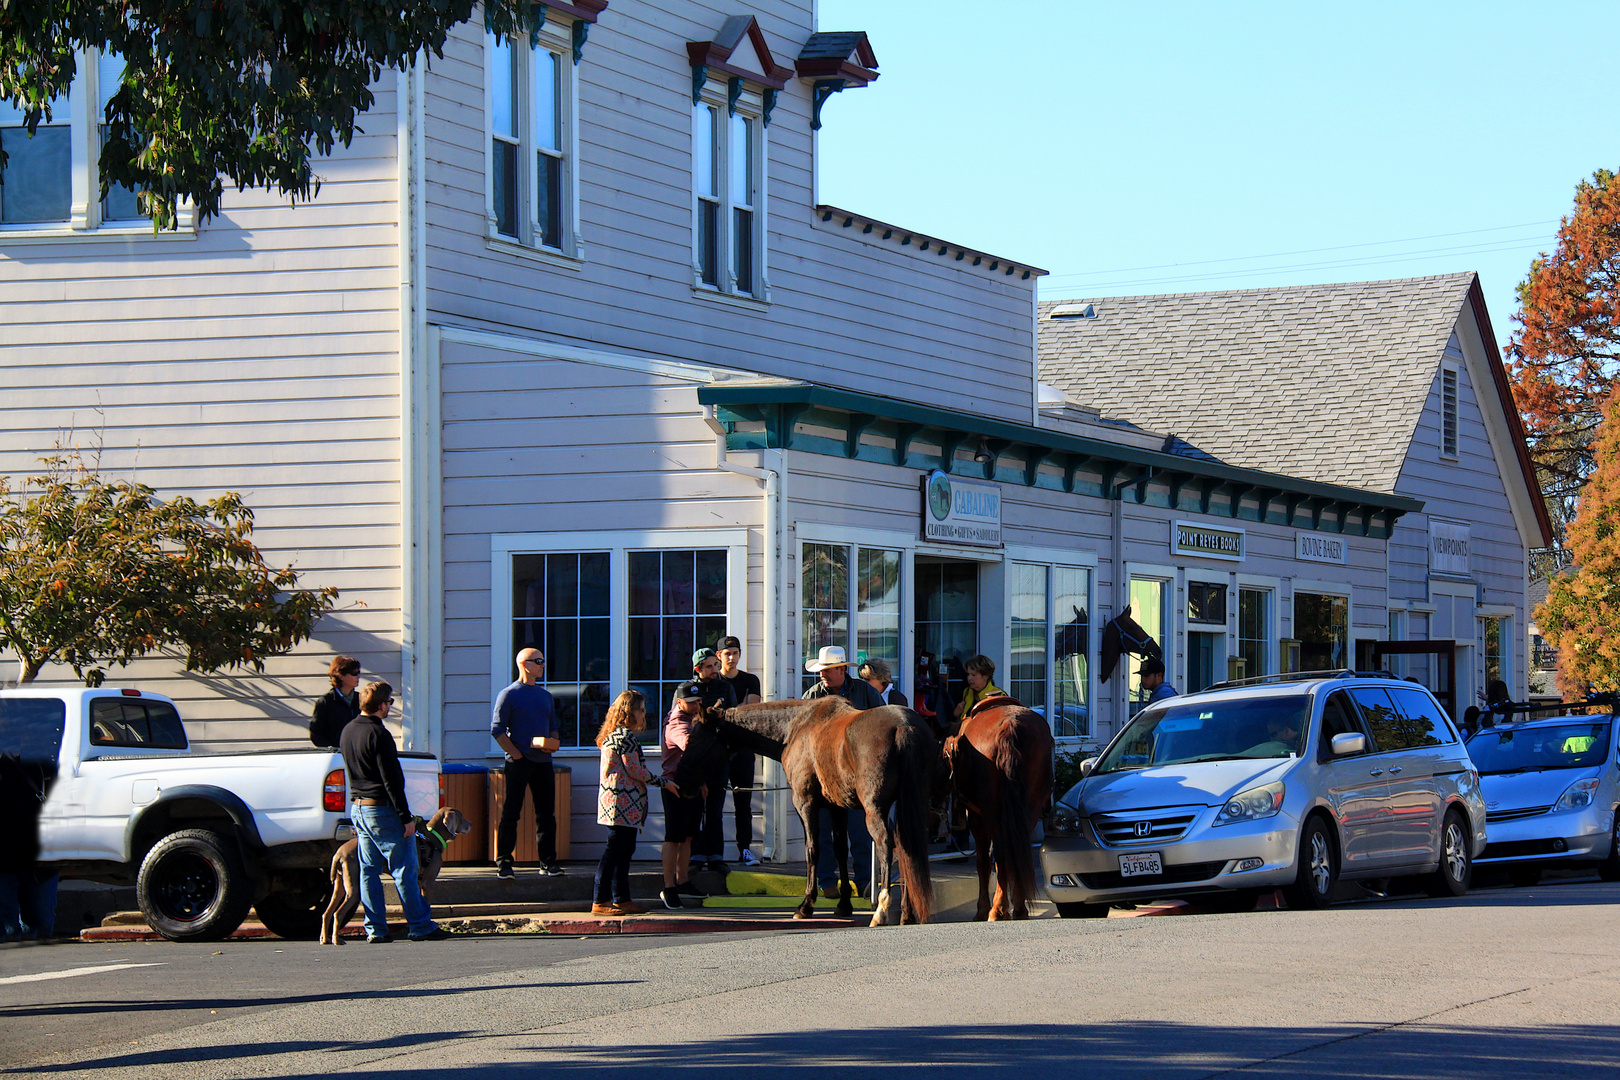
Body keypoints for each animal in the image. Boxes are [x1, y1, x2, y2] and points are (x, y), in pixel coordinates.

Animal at [315, 806, 469, 939]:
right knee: (338, 913)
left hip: (340, 884)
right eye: (461, 817)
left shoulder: (418, 882)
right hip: (354, 887)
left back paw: (325, 939)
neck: (432, 837)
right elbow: (427, 905)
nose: (471, 824)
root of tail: (339, 853)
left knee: (327, 912)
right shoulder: (428, 882)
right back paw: (337, 940)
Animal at [683, 702, 939, 932]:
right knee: (906, 848)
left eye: (693, 739)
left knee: (887, 846)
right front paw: (844, 904)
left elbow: (812, 849)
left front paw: (806, 905)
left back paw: (882, 910)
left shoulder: (805, 803)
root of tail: (904, 726)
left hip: (874, 809)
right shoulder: (838, 807)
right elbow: (839, 851)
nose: (681, 780)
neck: (795, 728)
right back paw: (907, 912)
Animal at [946, 702, 1056, 919]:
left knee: (1001, 854)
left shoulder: (976, 818)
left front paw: (982, 909)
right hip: (1028, 810)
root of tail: (1009, 728)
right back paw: (1019, 908)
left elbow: (984, 862)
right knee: (1018, 851)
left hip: (991, 813)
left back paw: (997, 909)